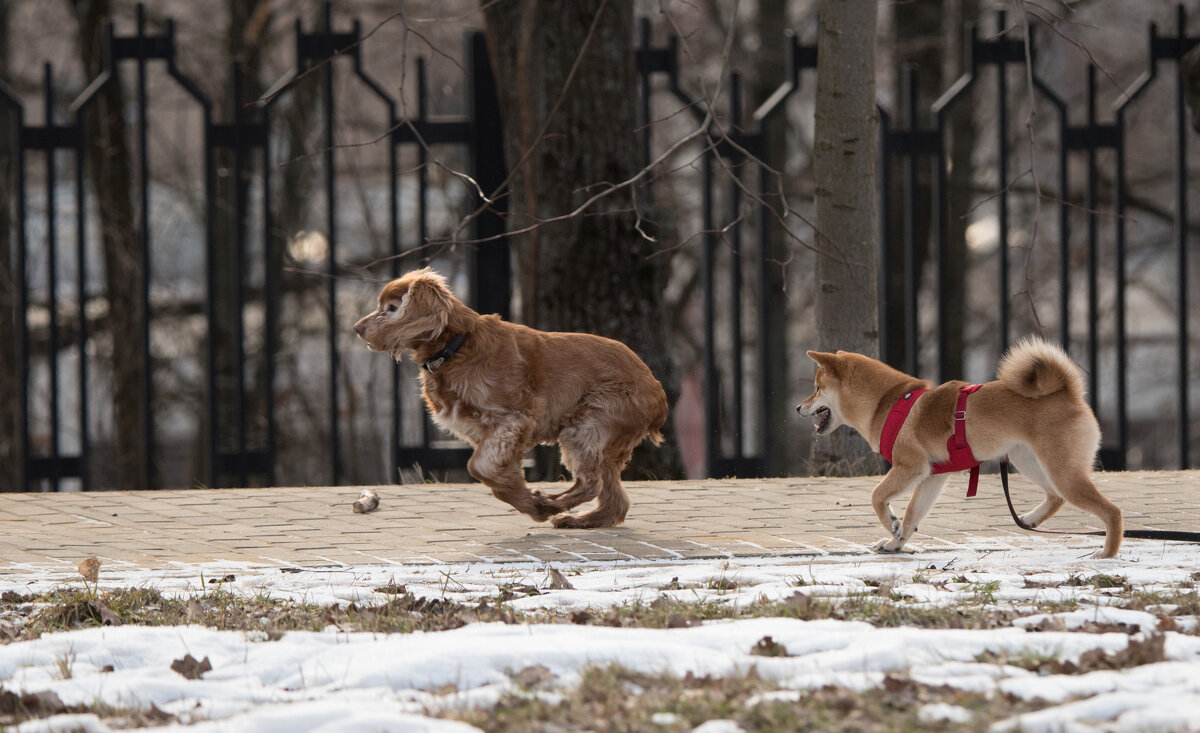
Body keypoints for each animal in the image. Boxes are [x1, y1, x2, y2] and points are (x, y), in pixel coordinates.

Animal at [350, 269, 672, 527]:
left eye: (391, 308)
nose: (356, 328)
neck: (456, 347)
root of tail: (658, 392)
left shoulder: (511, 420)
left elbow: (477, 467)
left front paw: (531, 503)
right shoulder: (492, 436)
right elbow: (494, 474)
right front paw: (525, 497)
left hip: (588, 426)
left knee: (592, 484)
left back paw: (553, 506)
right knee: (614, 499)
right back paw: (575, 518)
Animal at [796, 340, 1123, 559]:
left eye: (816, 387)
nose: (798, 407)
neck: (886, 403)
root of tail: (1068, 392)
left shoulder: (911, 467)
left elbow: (877, 496)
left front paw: (891, 525)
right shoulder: (932, 476)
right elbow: (913, 513)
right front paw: (896, 542)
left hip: (1061, 471)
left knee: (1112, 511)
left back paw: (1107, 553)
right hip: (1030, 461)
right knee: (1056, 498)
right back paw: (1030, 519)